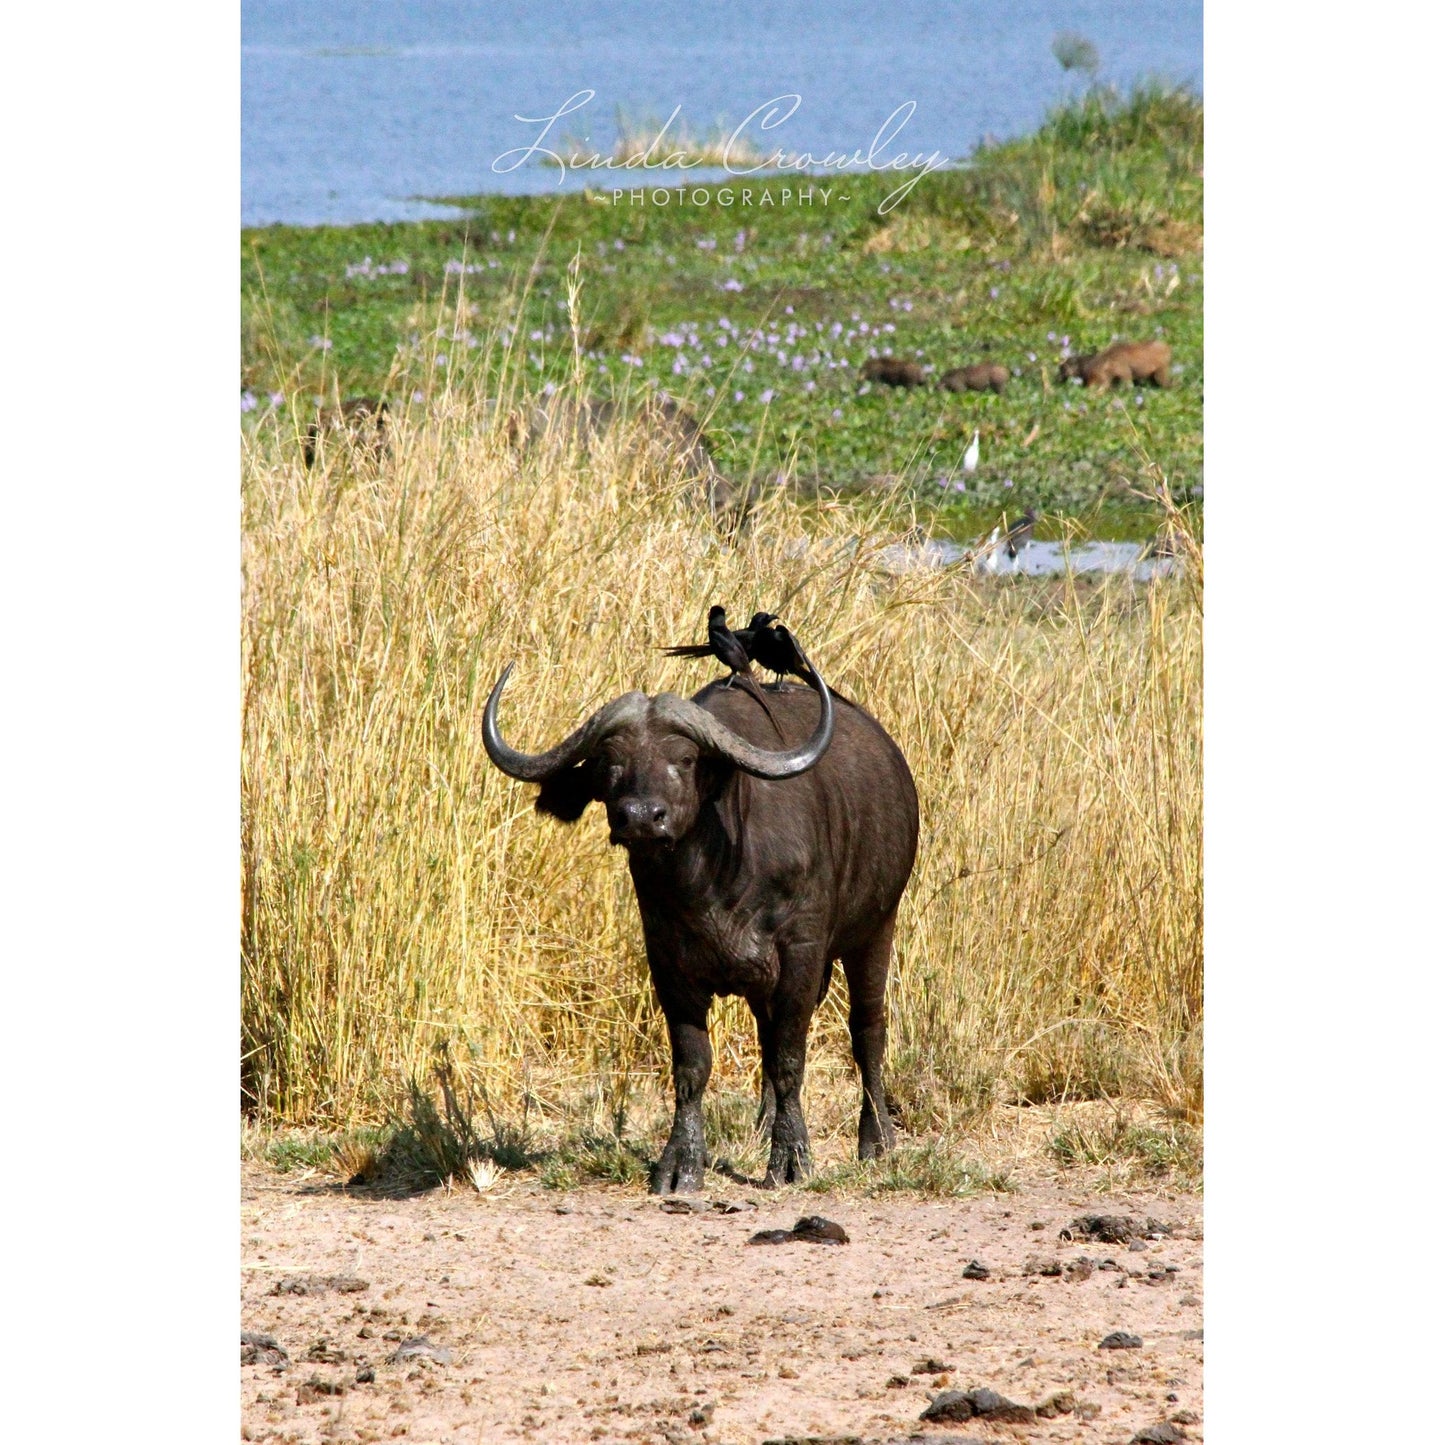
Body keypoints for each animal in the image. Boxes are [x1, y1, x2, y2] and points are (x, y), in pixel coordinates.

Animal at [482, 658, 919, 1192]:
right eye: (609, 762)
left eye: (685, 759)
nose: (641, 817)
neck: (711, 882)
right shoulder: (668, 963)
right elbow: (693, 1066)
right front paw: (682, 1162)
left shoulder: (802, 953)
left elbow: (790, 1058)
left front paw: (791, 1158)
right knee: (767, 1036)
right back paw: (763, 1124)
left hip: (877, 927)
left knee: (867, 1028)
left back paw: (877, 1138)